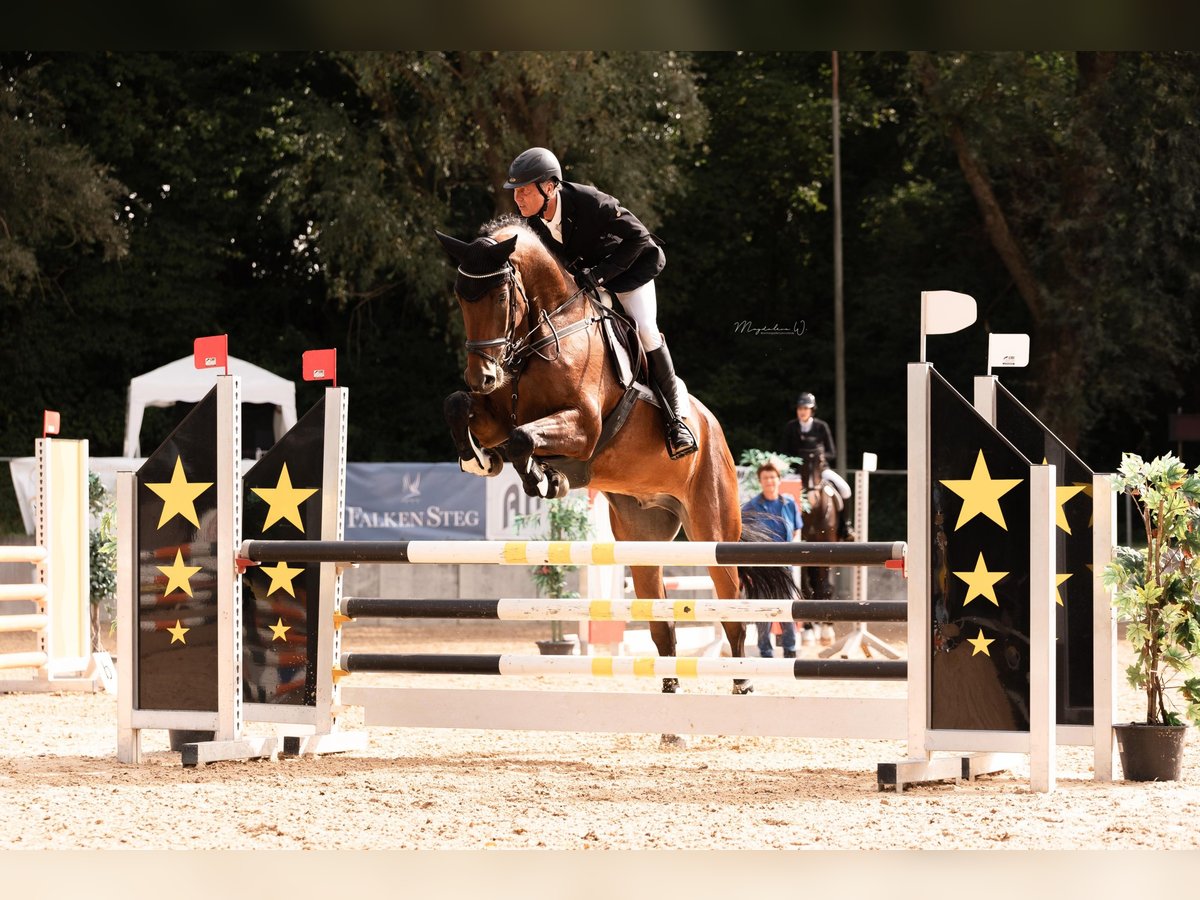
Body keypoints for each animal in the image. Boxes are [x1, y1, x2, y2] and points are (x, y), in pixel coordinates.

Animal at [434, 218, 796, 705]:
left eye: (501, 297)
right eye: (460, 296)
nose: (483, 376)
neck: (549, 331)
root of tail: (713, 429)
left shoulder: (583, 427)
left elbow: (523, 439)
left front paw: (544, 479)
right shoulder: (497, 413)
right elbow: (462, 408)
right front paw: (480, 459)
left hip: (713, 529)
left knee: (731, 603)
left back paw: (742, 680)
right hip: (641, 538)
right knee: (660, 616)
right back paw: (669, 686)